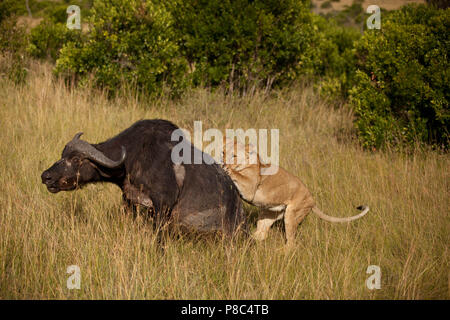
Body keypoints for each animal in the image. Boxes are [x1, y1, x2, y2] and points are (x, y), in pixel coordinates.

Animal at [41, 120, 246, 240]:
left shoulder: (162, 207)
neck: (132, 158)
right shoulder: (130, 202)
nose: (45, 176)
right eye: (62, 155)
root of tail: (237, 199)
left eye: (76, 159)